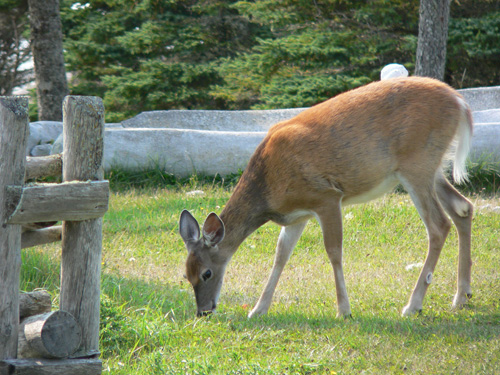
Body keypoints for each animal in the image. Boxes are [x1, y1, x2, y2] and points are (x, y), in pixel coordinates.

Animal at [179, 77, 472, 320]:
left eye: (206, 273)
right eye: (186, 274)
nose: (203, 311)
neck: (267, 188)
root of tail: (460, 102)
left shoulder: (326, 197)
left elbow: (333, 252)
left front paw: (344, 310)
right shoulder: (296, 216)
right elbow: (280, 256)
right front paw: (258, 310)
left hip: (416, 163)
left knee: (439, 225)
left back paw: (413, 305)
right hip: (432, 167)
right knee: (463, 208)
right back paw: (462, 296)